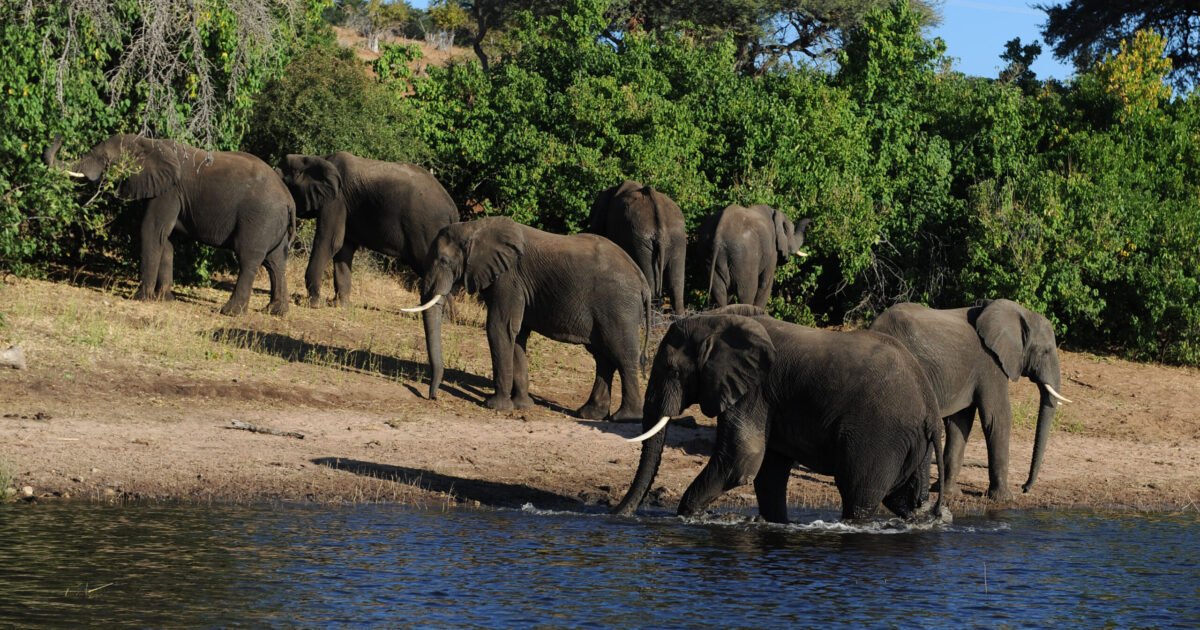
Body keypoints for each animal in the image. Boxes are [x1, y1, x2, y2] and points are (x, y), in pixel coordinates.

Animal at [44, 134, 294, 315]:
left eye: (106, 158)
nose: (59, 136)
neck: (149, 143)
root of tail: (289, 200)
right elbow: (166, 240)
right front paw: (164, 299)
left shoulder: (169, 191)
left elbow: (151, 231)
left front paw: (141, 298)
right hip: (273, 223)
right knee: (275, 262)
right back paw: (275, 311)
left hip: (260, 218)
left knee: (249, 259)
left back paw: (231, 313)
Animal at [278, 152, 460, 400]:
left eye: (285, 181)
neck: (316, 159)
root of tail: (453, 211)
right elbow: (343, 249)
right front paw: (339, 305)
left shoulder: (336, 201)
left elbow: (330, 241)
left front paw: (312, 302)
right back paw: (451, 319)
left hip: (426, 230)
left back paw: (449, 319)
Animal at [404, 216, 651, 421]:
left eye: (444, 261)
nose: (432, 397)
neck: (475, 227)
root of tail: (643, 281)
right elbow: (517, 334)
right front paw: (522, 406)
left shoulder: (508, 279)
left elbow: (499, 328)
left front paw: (495, 406)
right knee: (603, 357)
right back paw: (590, 414)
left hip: (619, 307)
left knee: (622, 354)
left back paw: (625, 418)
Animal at [613, 305, 947, 523]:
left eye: (671, 370)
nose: (617, 514)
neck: (718, 321)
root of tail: (930, 409)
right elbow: (768, 472)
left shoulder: (754, 391)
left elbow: (741, 460)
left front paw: (688, 516)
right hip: (913, 443)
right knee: (904, 499)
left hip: (879, 436)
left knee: (859, 496)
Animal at [869, 299, 1072, 501]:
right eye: (1045, 351)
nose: (1024, 487)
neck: (1021, 313)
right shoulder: (990, 363)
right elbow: (998, 419)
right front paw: (1005, 498)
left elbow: (960, 423)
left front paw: (951, 493)